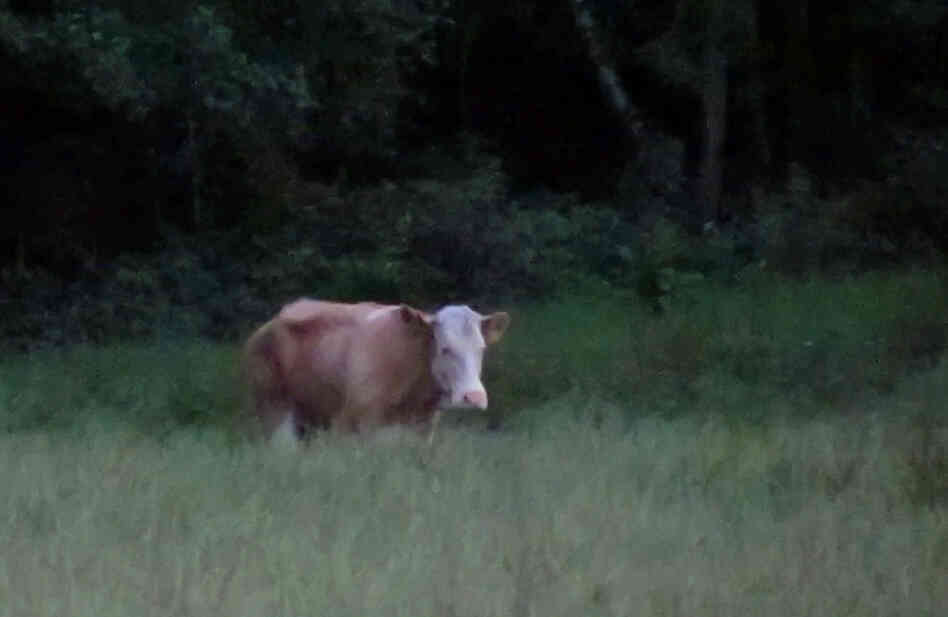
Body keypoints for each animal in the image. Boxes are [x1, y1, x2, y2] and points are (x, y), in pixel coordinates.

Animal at [243, 298, 510, 440]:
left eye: (481, 348)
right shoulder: (351, 425)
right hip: (275, 412)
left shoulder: (423, 429)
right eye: (445, 349)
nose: (474, 396)